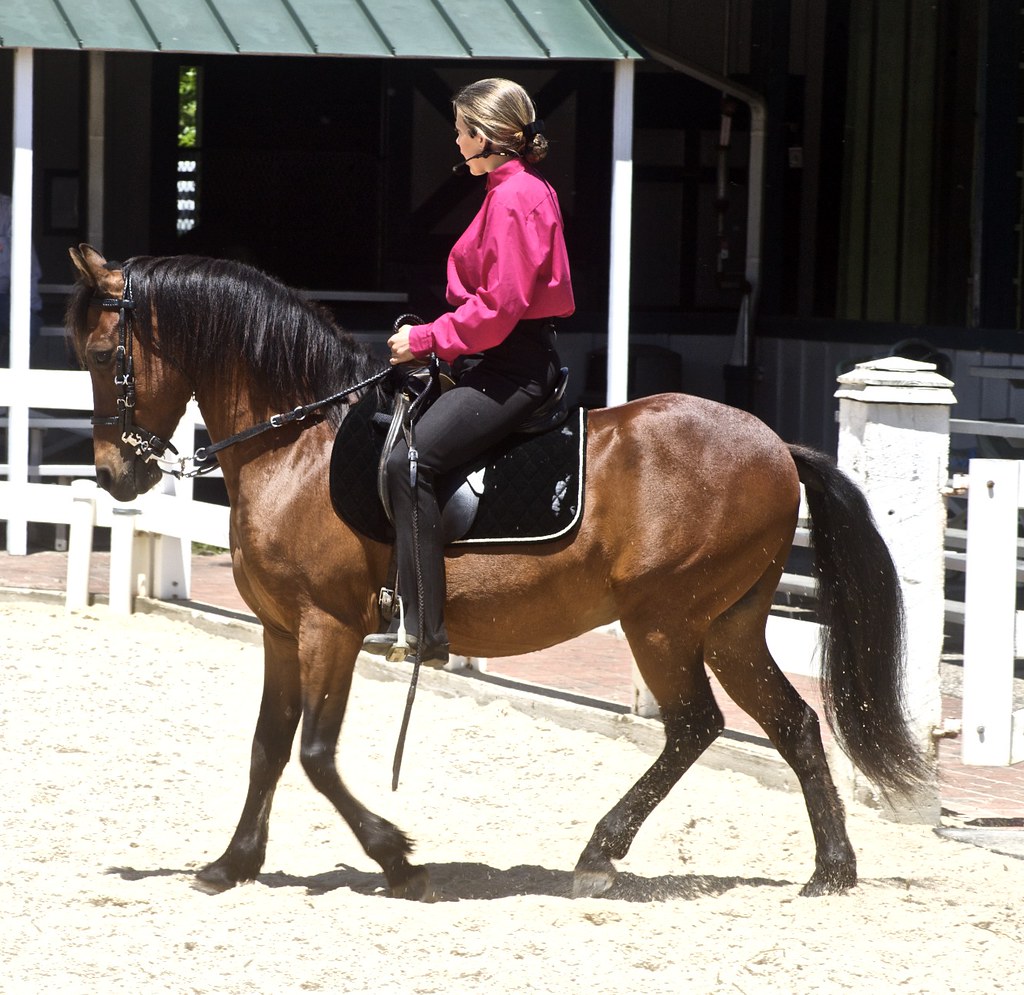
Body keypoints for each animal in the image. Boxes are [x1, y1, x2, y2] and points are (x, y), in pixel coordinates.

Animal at [66, 244, 928, 901]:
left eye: (104, 356)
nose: (114, 474)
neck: (297, 443)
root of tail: (778, 446)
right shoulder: (283, 632)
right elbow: (268, 748)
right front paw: (232, 862)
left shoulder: (326, 628)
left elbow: (314, 753)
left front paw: (396, 856)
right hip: (730, 626)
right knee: (793, 724)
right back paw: (830, 870)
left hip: (663, 621)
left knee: (693, 725)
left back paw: (599, 854)